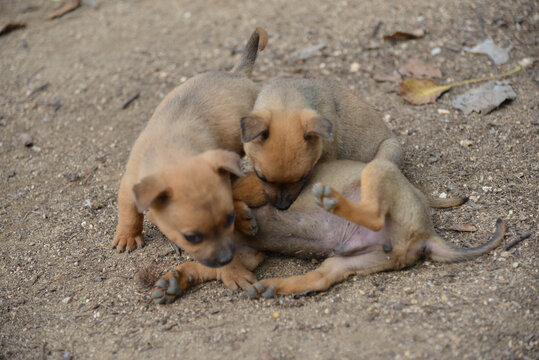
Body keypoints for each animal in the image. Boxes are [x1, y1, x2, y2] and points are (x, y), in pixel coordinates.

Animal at [149, 159, 506, 302]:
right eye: (191, 236)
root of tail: (428, 233)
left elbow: (239, 201)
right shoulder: (249, 254)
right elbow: (210, 268)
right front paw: (176, 280)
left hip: (378, 170)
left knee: (374, 213)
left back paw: (332, 200)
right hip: (352, 262)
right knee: (320, 278)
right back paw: (275, 287)